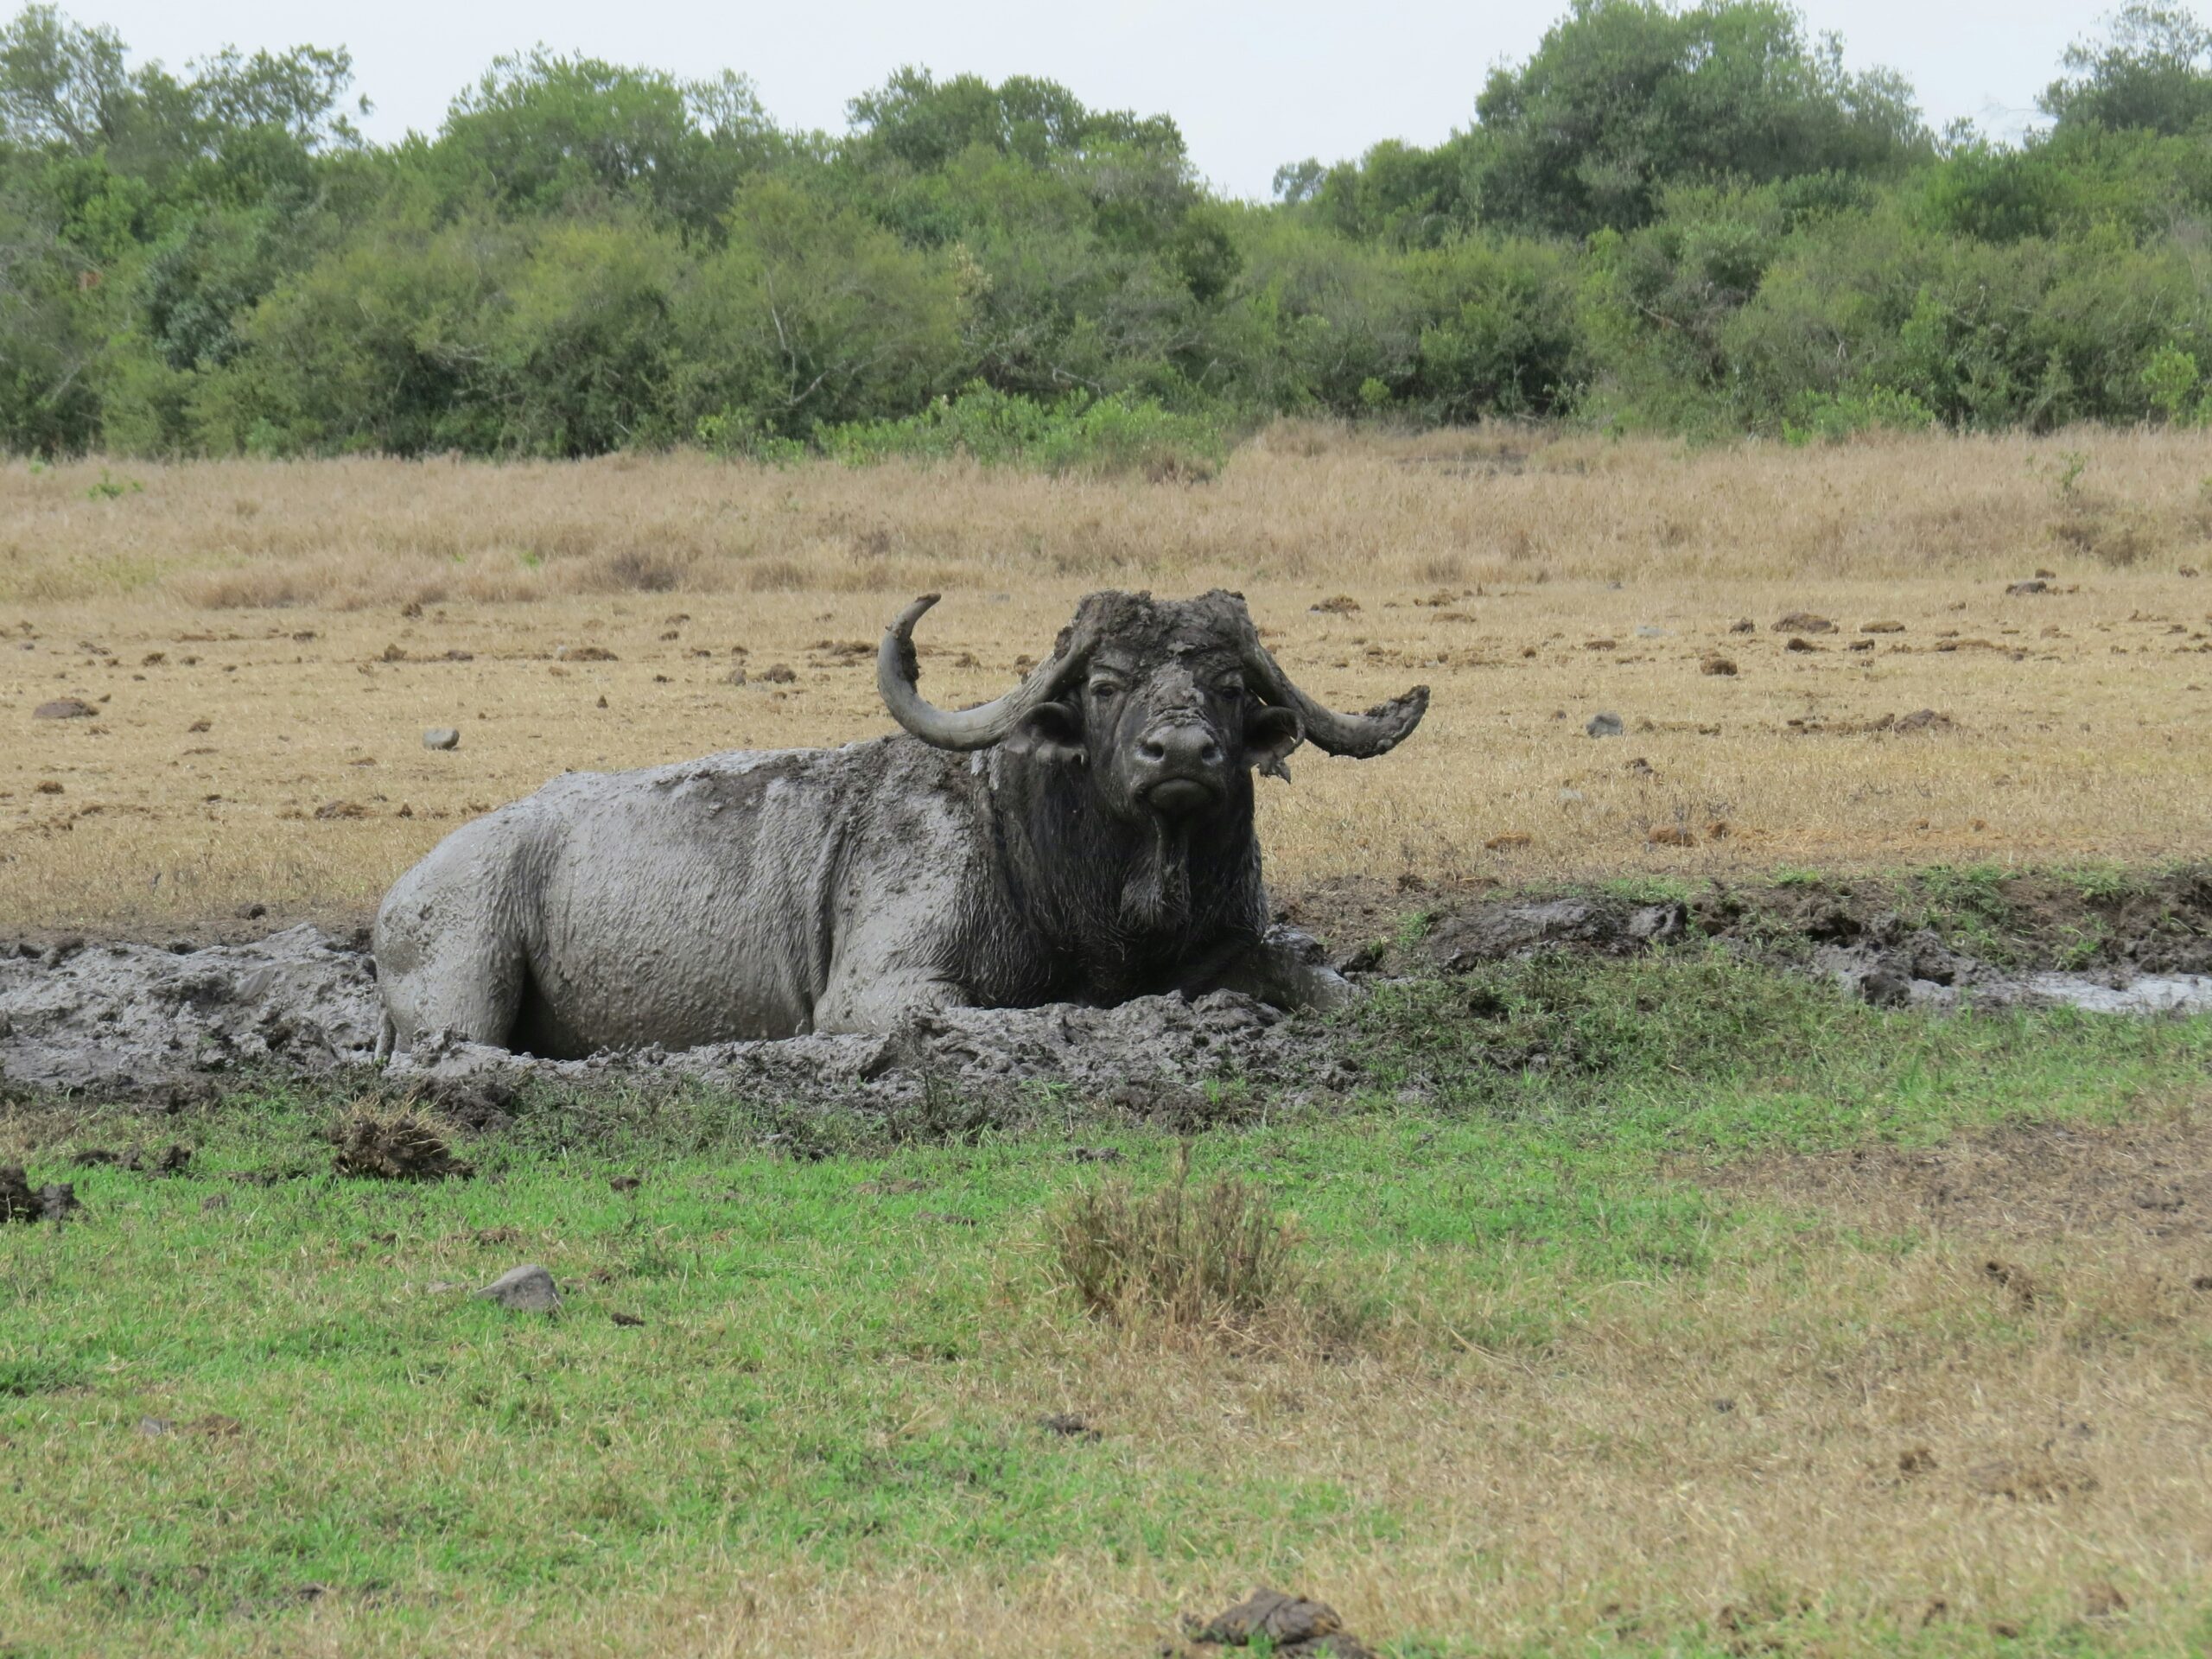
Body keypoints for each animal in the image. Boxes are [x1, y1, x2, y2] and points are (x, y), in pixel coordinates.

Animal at [373, 589, 1426, 1058]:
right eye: (1105, 684)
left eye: (1227, 686)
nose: (1181, 755)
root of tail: (401, 894)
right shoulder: (877, 994)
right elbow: (1041, 1011)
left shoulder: (1230, 947)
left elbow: (1313, 981)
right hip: (460, 986)